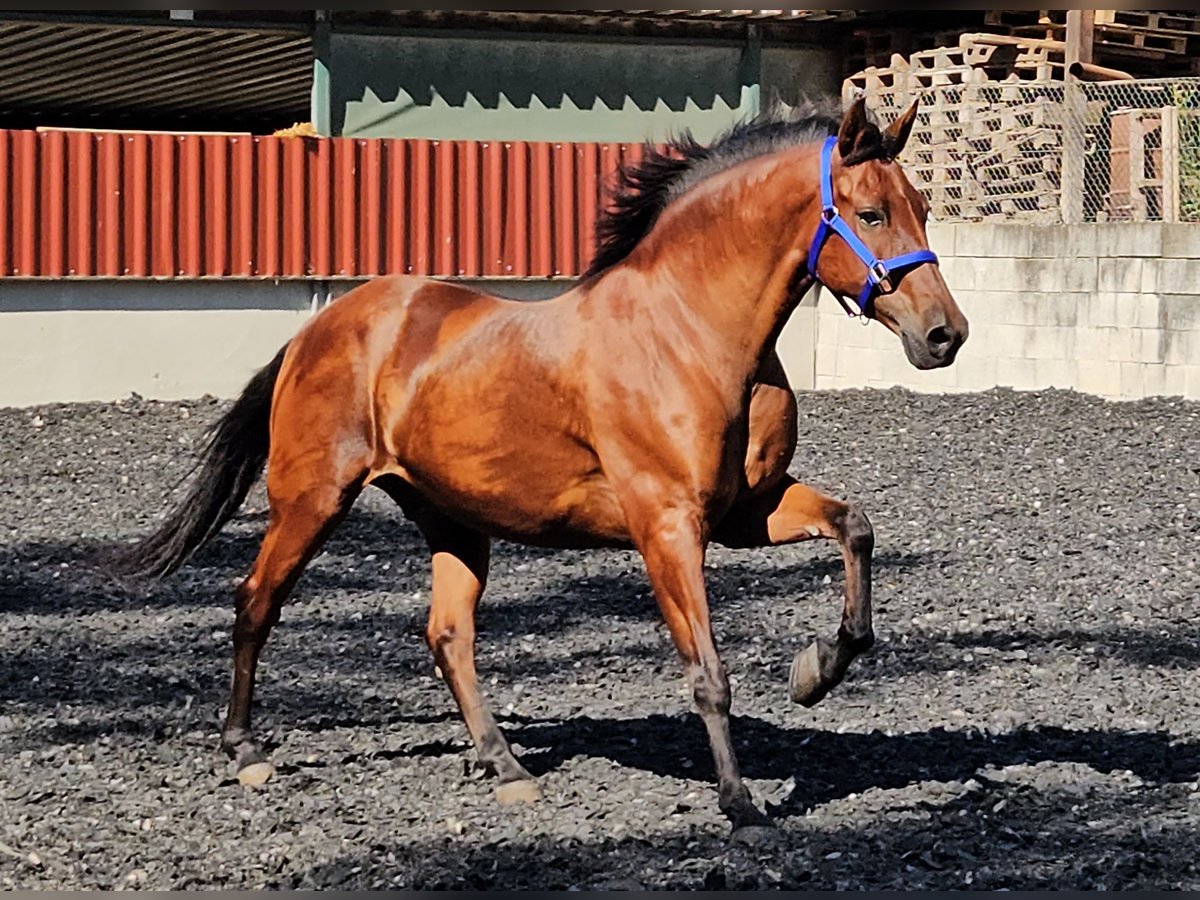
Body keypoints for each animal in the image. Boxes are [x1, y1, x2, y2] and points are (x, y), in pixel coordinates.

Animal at [112, 98, 964, 840]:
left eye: (921, 205)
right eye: (871, 213)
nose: (945, 334)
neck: (689, 331)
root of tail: (319, 329)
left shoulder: (746, 512)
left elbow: (856, 529)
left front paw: (814, 672)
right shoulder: (667, 527)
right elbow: (708, 673)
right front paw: (742, 805)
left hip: (452, 520)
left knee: (448, 633)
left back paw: (506, 766)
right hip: (312, 499)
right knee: (256, 601)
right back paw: (246, 750)